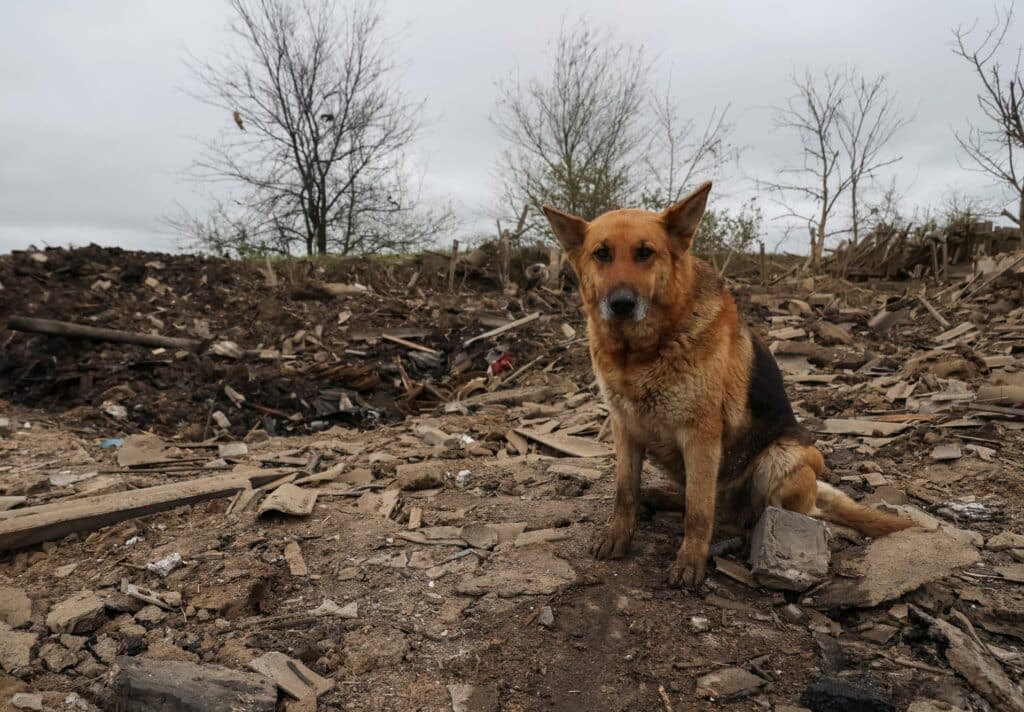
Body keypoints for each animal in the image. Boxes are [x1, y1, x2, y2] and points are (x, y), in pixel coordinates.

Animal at [544, 182, 913, 590]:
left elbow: (698, 513)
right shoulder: (624, 429)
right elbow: (625, 493)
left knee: (764, 510)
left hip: (782, 459)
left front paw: (690, 561)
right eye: (602, 253)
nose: (621, 304)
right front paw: (618, 537)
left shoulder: (701, 435)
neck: (641, 351)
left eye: (645, 253)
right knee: (699, 498)